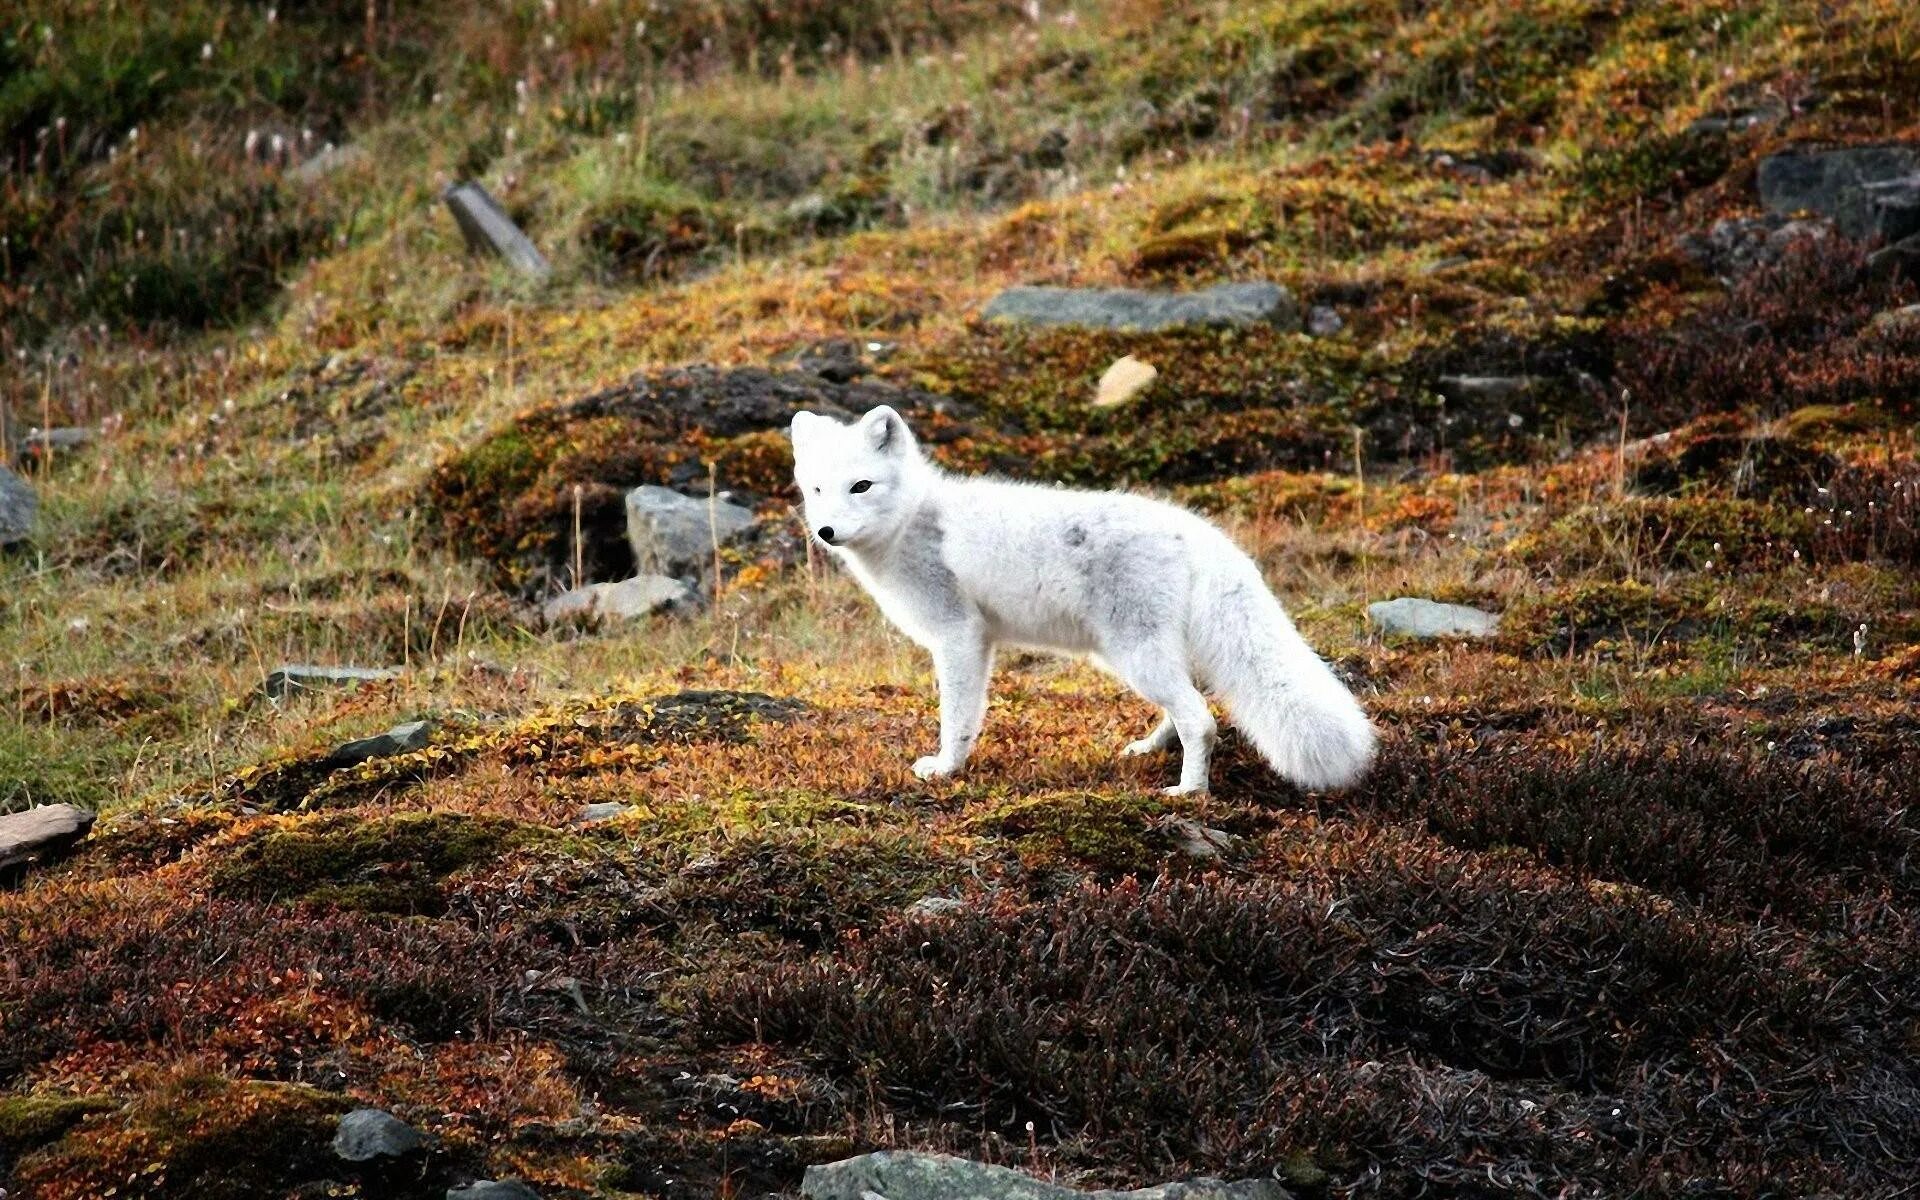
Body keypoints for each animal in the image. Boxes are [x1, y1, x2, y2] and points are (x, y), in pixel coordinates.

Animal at [787, 405, 1374, 794]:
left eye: (861, 486)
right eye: (816, 489)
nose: (826, 532)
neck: (911, 521)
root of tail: (1198, 533)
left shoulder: (959, 637)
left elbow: (958, 716)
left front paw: (947, 768)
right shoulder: (979, 641)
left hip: (1135, 655)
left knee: (1202, 720)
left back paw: (1188, 793)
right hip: (1129, 656)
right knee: (1189, 703)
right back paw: (1149, 749)